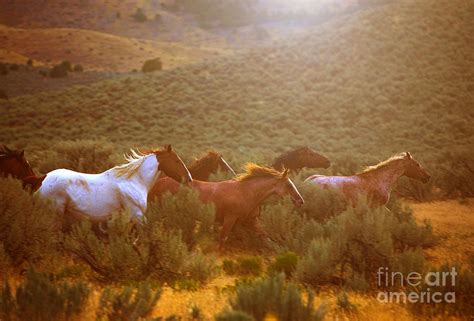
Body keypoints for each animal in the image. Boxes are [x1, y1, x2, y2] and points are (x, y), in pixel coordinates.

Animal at [148, 162, 304, 250]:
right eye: (289, 185)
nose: (300, 201)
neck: (246, 192)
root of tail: (157, 183)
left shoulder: (252, 220)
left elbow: (265, 237)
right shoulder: (230, 218)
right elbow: (223, 240)